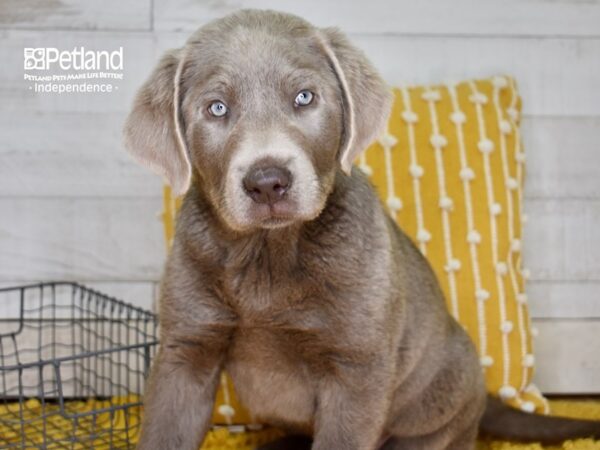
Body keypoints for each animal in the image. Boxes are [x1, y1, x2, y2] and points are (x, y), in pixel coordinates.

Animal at [124, 7, 600, 450]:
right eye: (217, 108)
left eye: (304, 97)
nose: (267, 181)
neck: (269, 254)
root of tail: (486, 398)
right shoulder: (187, 350)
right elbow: (165, 430)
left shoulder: (357, 367)